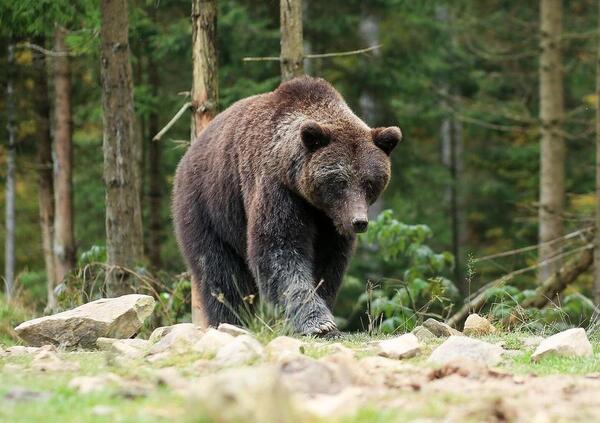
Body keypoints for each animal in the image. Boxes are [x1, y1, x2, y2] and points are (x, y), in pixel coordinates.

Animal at [171, 75, 400, 334]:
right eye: (340, 181)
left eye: (369, 182)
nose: (358, 222)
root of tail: (189, 153)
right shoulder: (277, 189)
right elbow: (279, 248)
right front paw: (319, 323)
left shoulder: (329, 221)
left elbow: (328, 263)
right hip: (208, 206)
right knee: (220, 272)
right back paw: (230, 320)